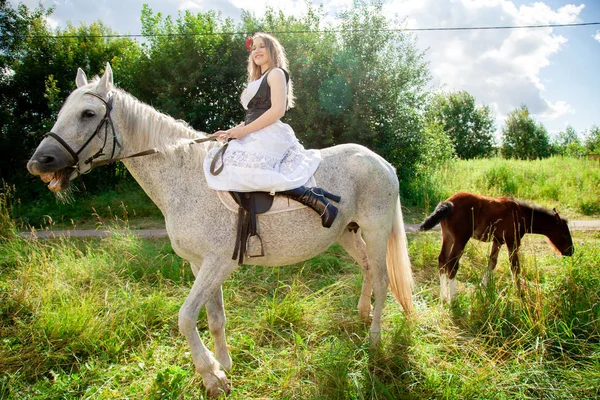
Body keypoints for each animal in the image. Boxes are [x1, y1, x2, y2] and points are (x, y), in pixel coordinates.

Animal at [27, 63, 412, 396]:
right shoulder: (201, 264)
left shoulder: (218, 263)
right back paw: (361, 314)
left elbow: (185, 317)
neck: (186, 178)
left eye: (88, 114)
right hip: (348, 232)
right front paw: (225, 364)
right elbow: (214, 317)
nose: (38, 163)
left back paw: (374, 339)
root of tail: (380, 161)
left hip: (376, 231)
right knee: (367, 268)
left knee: (382, 279)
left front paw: (211, 376)